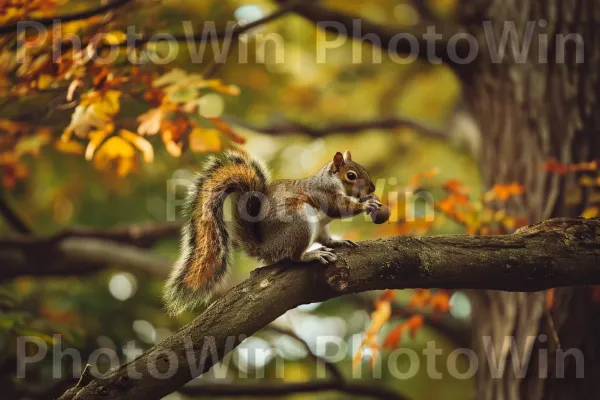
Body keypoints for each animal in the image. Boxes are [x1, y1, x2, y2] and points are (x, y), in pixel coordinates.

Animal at [164, 148, 380, 314]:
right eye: (351, 175)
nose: (372, 188)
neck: (330, 180)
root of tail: (267, 248)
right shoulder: (324, 193)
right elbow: (339, 207)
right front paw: (366, 204)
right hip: (300, 222)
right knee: (294, 256)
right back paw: (311, 255)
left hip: (319, 227)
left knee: (324, 239)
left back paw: (336, 242)